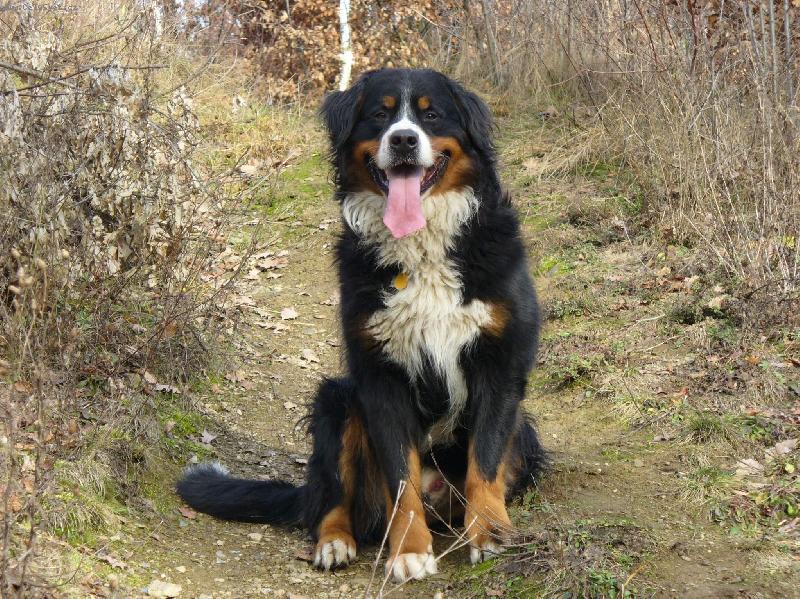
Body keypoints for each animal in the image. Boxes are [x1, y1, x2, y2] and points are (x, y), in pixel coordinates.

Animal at [177, 68, 546, 583]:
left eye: (432, 114)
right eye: (379, 114)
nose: (404, 139)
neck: (421, 250)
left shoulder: (499, 363)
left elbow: (485, 461)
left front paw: (490, 533)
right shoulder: (379, 376)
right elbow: (400, 480)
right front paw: (409, 551)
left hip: (525, 432)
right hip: (337, 400)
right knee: (331, 499)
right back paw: (335, 543)